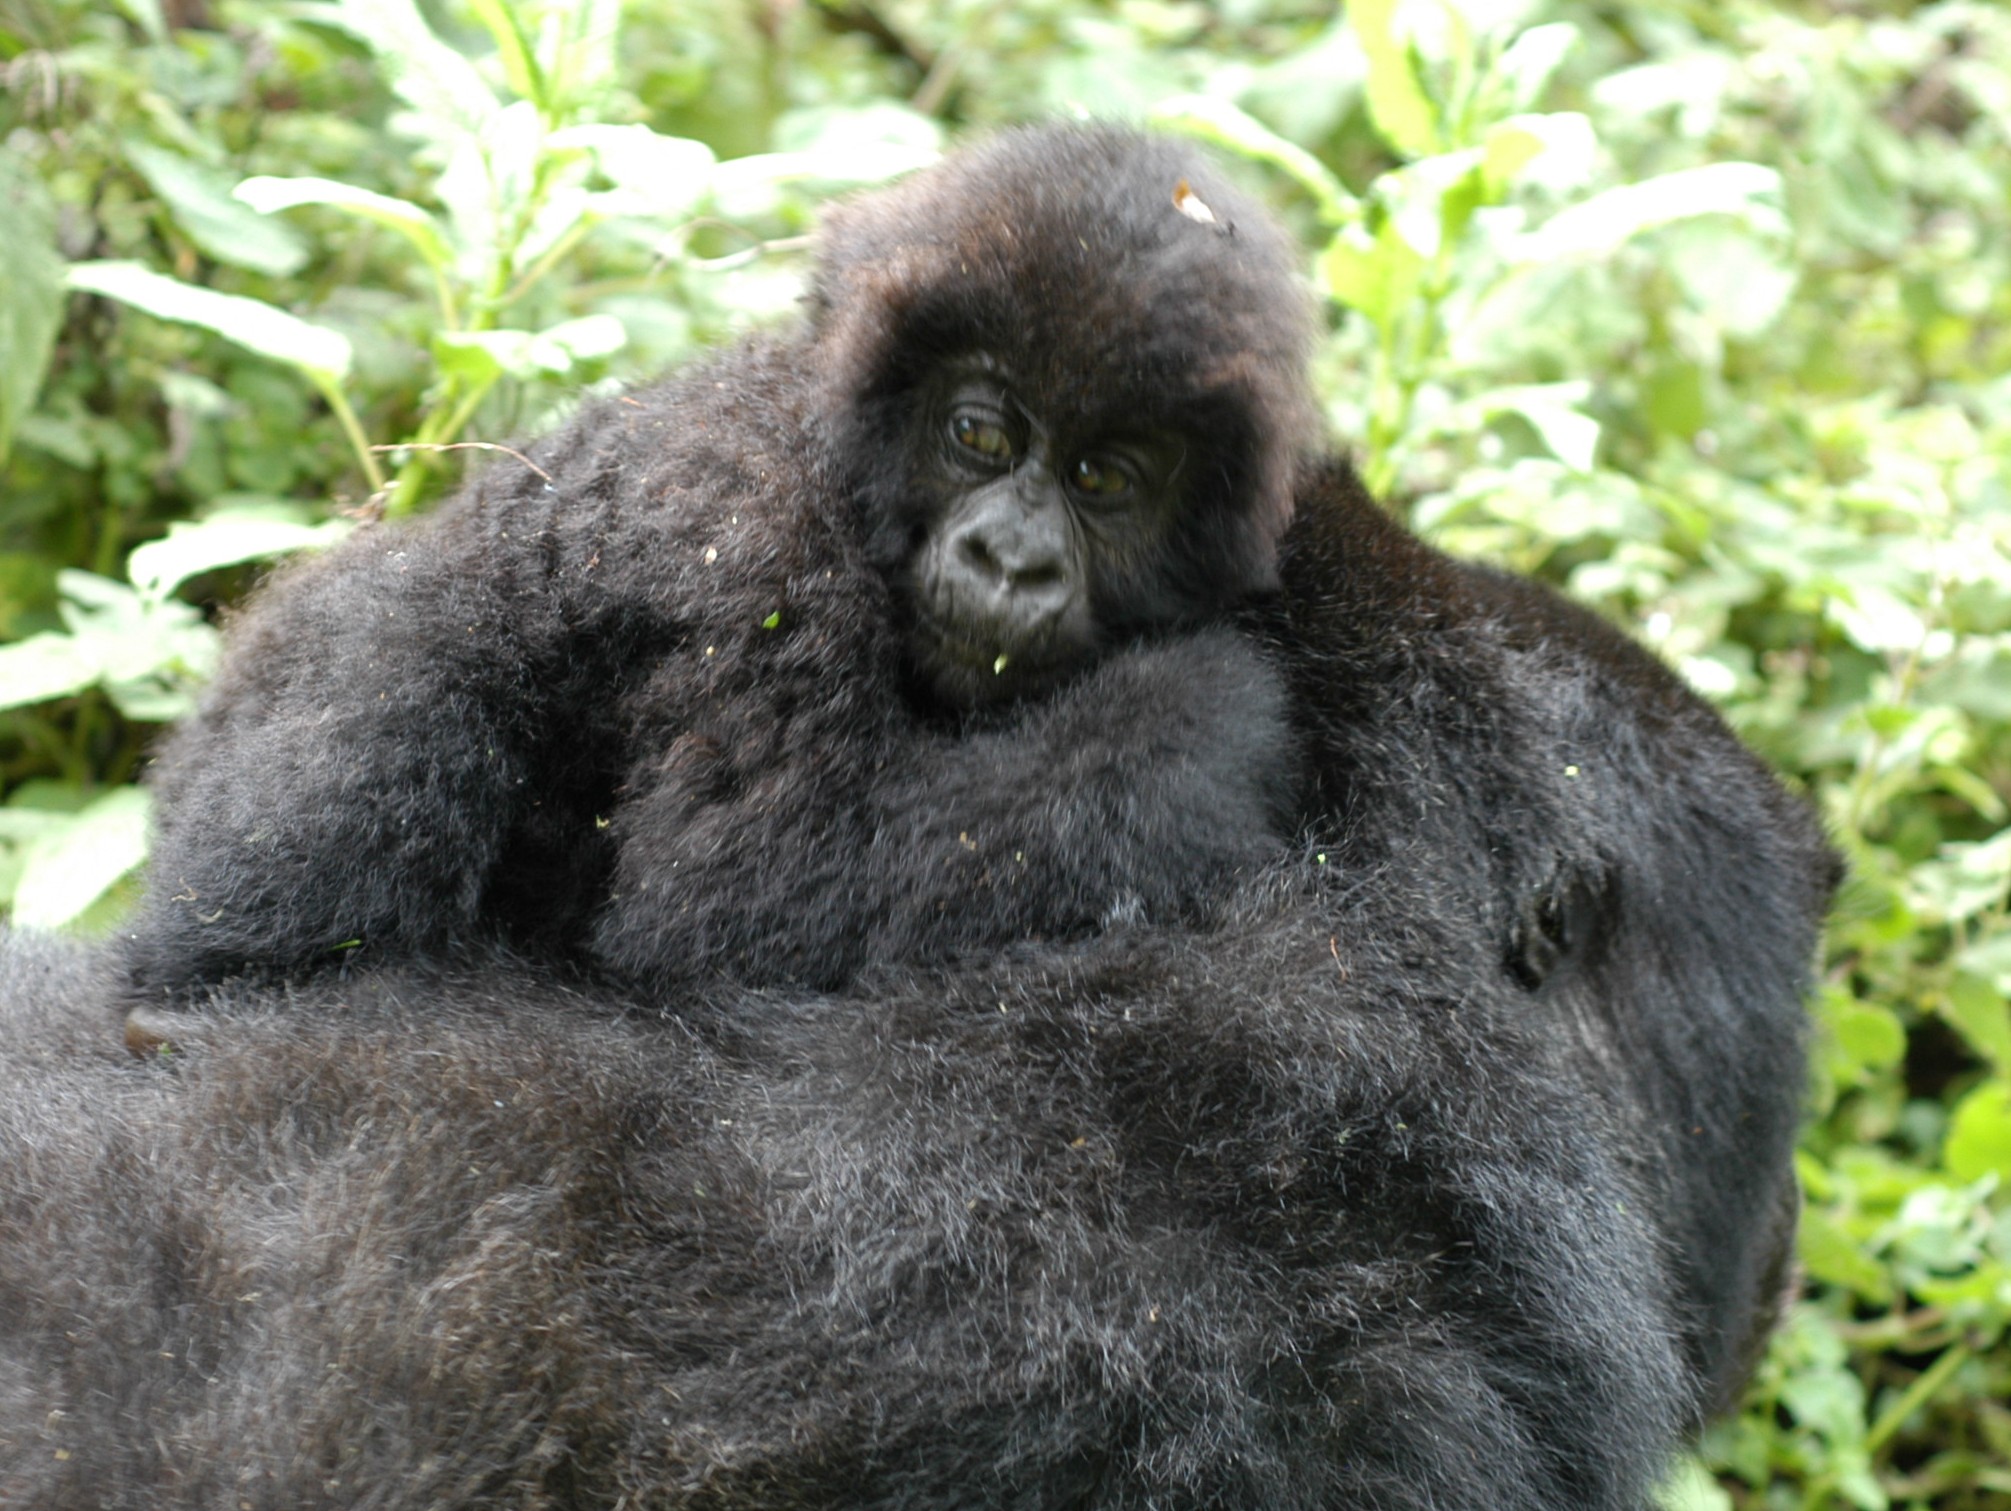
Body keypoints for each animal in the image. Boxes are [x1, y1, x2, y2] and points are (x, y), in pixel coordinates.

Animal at [125, 129, 1319, 1005]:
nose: (1009, 558)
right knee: (412, 657)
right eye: (978, 433)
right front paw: (1199, 720)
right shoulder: (758, 536)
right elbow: (748, 883)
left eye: (1102, 477)